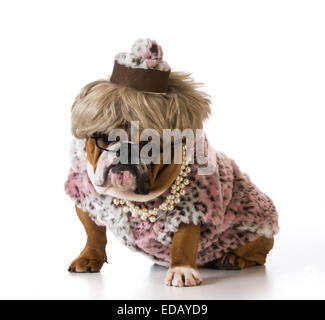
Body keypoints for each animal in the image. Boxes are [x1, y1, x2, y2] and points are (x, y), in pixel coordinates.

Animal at [64, 38, 278, 286]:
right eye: (106, 137)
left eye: (149, 144)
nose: (126, 149)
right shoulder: (86, 198)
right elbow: (94, 234)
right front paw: (89, 258)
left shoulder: (190, 210)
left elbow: (183, 242)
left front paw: (182, 270)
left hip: (257, 234)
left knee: (258, 255)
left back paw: (233, 259)